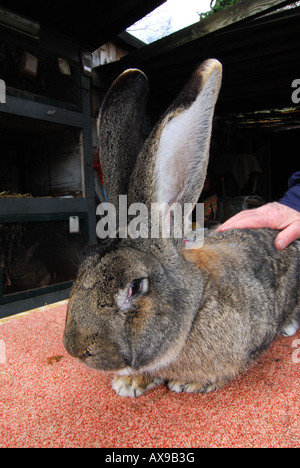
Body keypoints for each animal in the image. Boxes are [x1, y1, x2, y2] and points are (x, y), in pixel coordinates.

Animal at [62, 57, 298, 394]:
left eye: (135, 286)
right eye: (82, 266)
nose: (76, 347)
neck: (195, 307)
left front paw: (188, 384)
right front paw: (130, 382)